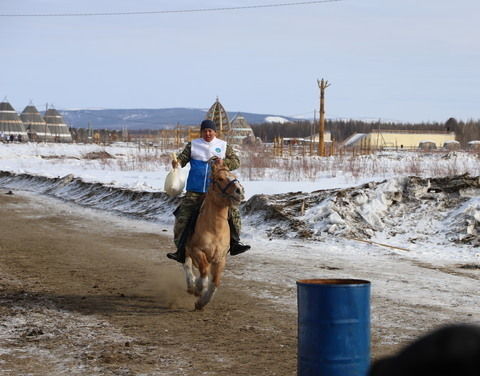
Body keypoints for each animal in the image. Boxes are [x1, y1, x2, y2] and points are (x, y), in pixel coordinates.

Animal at [183, 157, 246, 310]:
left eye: (234, 176)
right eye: (220, 178)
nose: (239, 191)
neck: (215, 229)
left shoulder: (220, 258)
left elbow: (216, 281)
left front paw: (202, 302)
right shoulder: (197, 250)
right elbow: (204, 271)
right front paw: (199, 288)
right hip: (186, 249)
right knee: (187, 264)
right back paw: (191, 285)